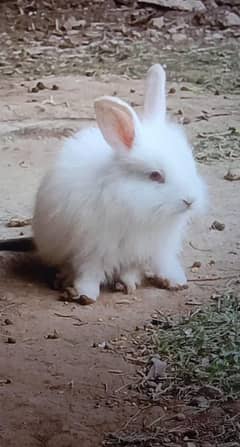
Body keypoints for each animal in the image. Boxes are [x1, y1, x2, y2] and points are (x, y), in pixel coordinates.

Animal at [31, 64, 207, 304]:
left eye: (190, 164)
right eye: (155, 175)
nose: (190, 200)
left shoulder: (151, 247)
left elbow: (149, 264)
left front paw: (169, 282)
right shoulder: (92, 248)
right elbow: (89, 272)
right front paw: (86, 294)